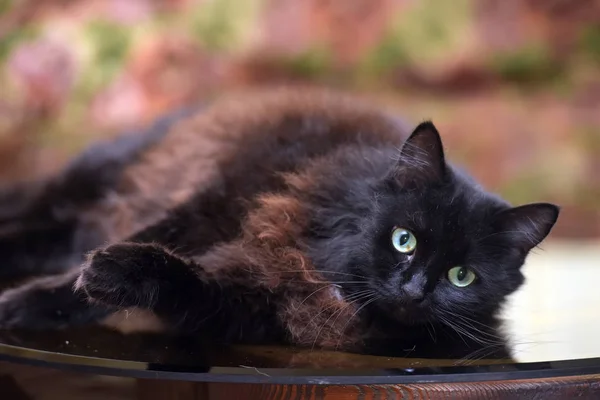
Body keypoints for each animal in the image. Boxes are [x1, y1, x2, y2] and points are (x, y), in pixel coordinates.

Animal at [0, 88, 556, 360]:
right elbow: (145, 243)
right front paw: (29, 301)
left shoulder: (240, 307)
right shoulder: (214, 203)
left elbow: (179, 280)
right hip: (88, 186)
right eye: (404, 239)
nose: (415, 289)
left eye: (462, 277)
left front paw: (110, 274)